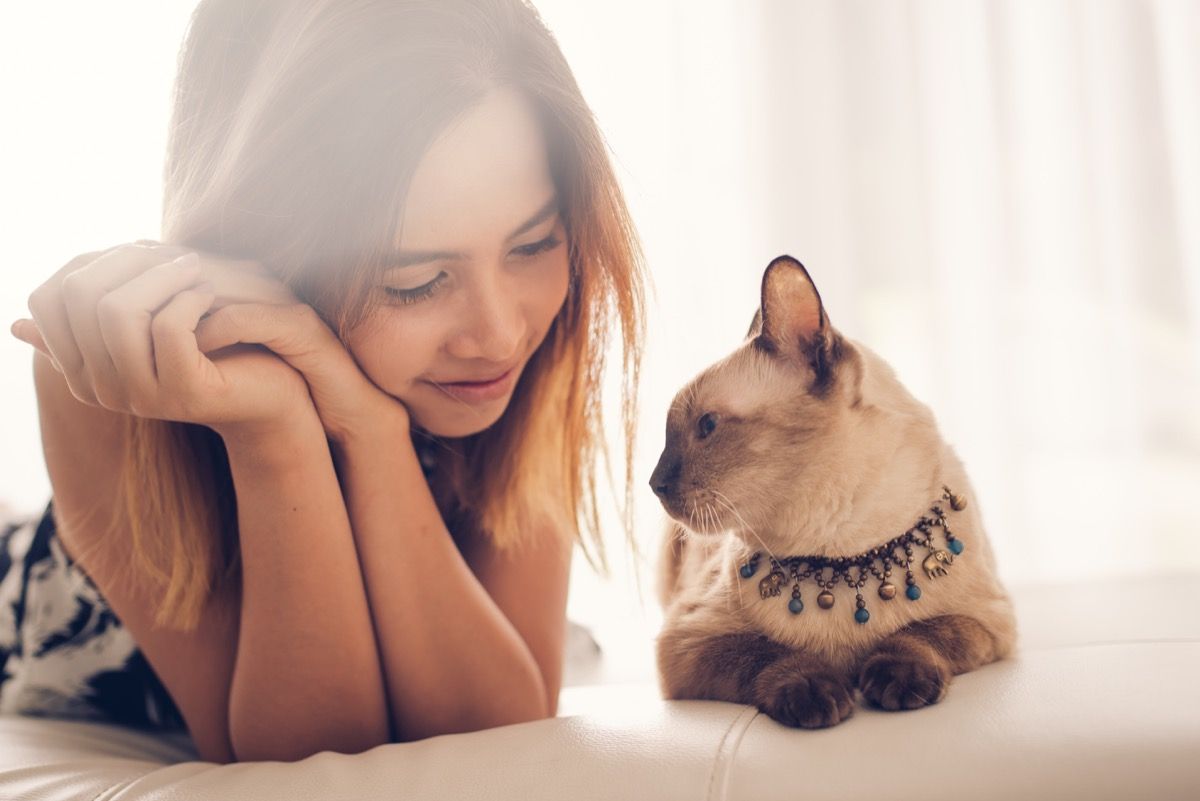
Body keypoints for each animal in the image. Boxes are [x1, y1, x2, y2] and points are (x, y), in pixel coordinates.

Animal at [652, 255, 1017, 724]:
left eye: (707, 426)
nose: (654, 483)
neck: (840, 555)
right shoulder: (688, 643)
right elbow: (768, 653)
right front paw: (817, 691)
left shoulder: (988, 622)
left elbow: (924, 632)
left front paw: (893, 681)